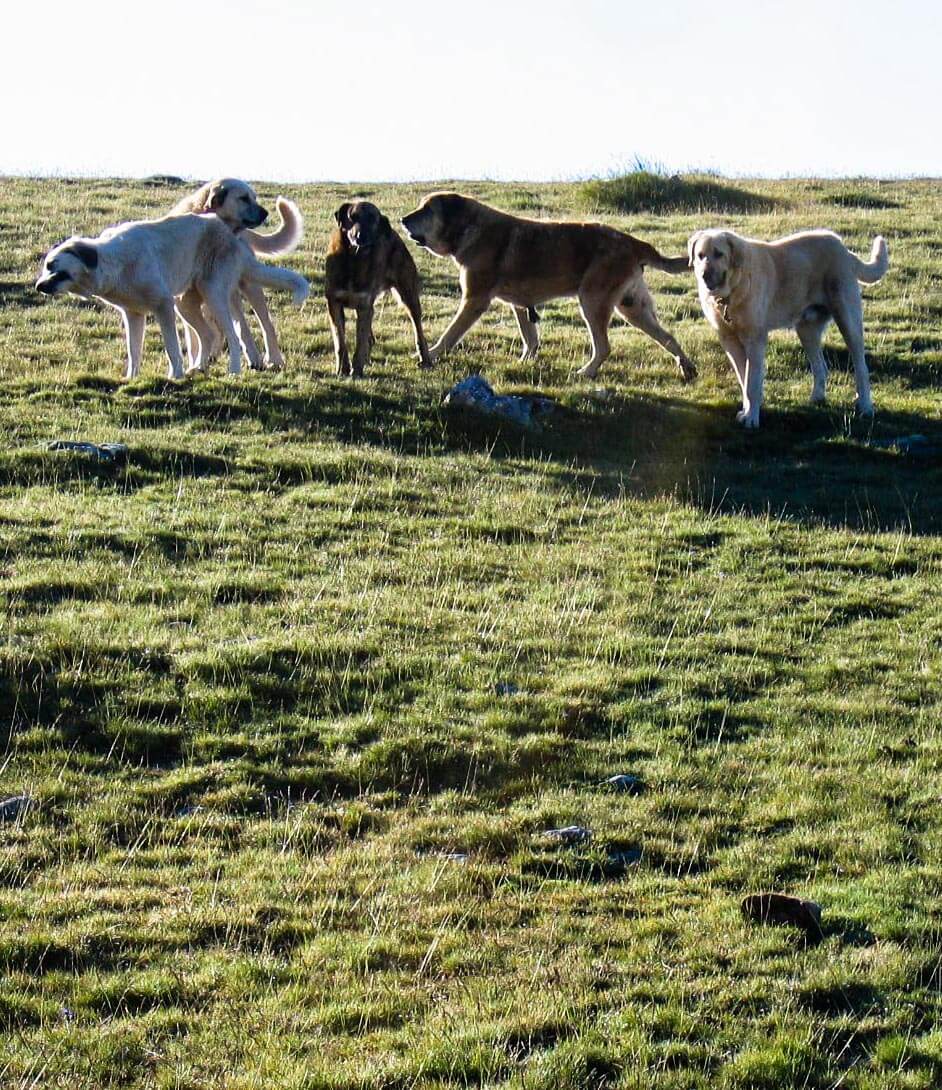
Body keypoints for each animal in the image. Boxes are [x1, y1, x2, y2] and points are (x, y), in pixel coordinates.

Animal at [36, 214, 309, 381]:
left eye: (55, 267)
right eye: (46, 266)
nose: (38, 286)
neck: (113, 264)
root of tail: (233, 235)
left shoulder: (163, 306)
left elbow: (171, 347)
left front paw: (175, 376)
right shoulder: (133, 315)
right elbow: (134, 350)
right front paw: (131, 379)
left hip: (212, 293)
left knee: (232, 335)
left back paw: (233, 370)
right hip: (185, 303)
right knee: (208, 335)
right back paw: (198, 367)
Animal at [324, 201, 431, 379]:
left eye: (372, 219)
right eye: (352, 217)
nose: (359, 237)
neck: (354, 259)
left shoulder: (364, 304)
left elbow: (359, 343)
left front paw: (356, 371)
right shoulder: (334, 303)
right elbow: (340, 340)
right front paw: (343, 369)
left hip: (408, 294)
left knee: (418, 328)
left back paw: (426, 359)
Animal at [401, 194, 693, 381]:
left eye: (427, 209)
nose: (403, 219)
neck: (467, 229)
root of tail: (634, 243)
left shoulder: (475, 300)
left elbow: (450, 334)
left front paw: (429, 355)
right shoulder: (519, 305)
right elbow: (530, 338)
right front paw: (524, 363)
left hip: (593, 301)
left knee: (604, 346)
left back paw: (586, 373)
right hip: (633, 308)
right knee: (668, 337)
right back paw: (687, 368)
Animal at [689, 227, 885, 427]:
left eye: (719, 254)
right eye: (700, 255)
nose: (704, 275)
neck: (733, 289)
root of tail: (844, 249)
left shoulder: (755, 341)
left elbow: (752, 383)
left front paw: (752, 418)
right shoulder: (730, 341)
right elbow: (744, 380)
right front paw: (747, 411)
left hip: (848, 323)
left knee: (861, 367)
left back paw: (865, 406)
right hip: (807, 331)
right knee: (821, 366)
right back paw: (817, 398)